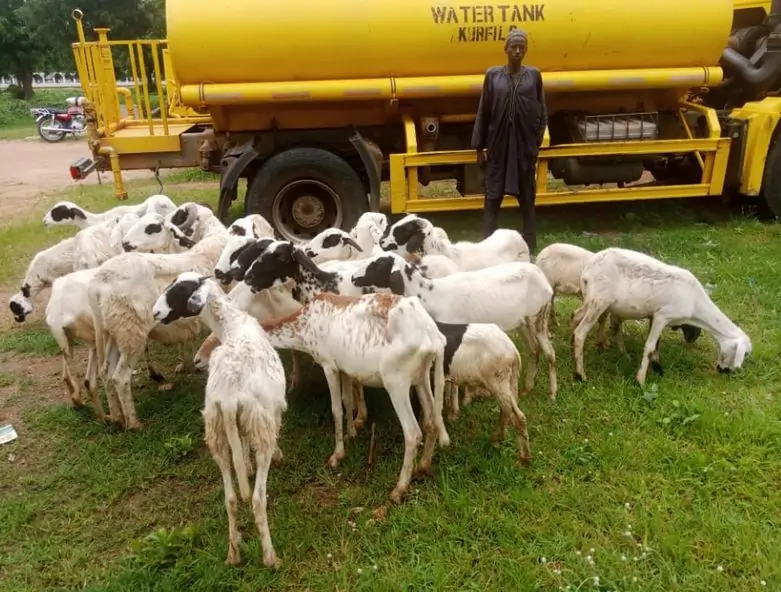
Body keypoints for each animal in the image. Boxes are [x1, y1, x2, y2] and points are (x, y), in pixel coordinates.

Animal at [88, 203, 231, 429]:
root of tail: (97, 285)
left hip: (111, 332)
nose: (126, 243)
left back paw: (116, 417)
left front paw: (187, 363)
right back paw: (133, 423)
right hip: (131, 332)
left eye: (152, 227)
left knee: (105, 372)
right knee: (120, 377)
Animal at [152, 272, 287, 567]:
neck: (232, 325)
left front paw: (245, 466)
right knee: (257, 499)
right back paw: (270, 557)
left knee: (231, 498)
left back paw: (233, 553)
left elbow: (242, 453)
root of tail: (228, 397)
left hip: (216, 430)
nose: (154, 312)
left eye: (180, 289)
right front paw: (277, 456)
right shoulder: (273, 412)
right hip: (258, 422)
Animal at [255, 291, 449, 504]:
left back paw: (398, 490)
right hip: (421, 376)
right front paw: (352, 433)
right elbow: (347, 400)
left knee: (413, 433)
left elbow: (336, 409)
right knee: (432, 420)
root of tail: (434, 339)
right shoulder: (345, 368)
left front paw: (336, 456)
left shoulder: (328, 364)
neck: (303, 330)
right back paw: (423, 467)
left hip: (396, 380)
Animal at [351, 254, 558, 400]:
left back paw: (552, 394)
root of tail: (544, 279)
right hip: (524, 322)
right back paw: (527, 389)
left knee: (549, 353)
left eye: (377, 264)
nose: (353, 277)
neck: (428, 294)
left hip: (539, 317)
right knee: (534, 350)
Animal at [571, 247, 752, 384]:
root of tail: (588, 269)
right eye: (746, 354)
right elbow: (650, 346)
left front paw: (657, 367)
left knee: (575, 316)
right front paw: (640, 380)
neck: (695, 305)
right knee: (580, 333)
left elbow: (657, 344)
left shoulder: (656, 316)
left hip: (591, 300)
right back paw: (580, 375)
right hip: (599, 300)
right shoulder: (662, 316)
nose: (724, 371)